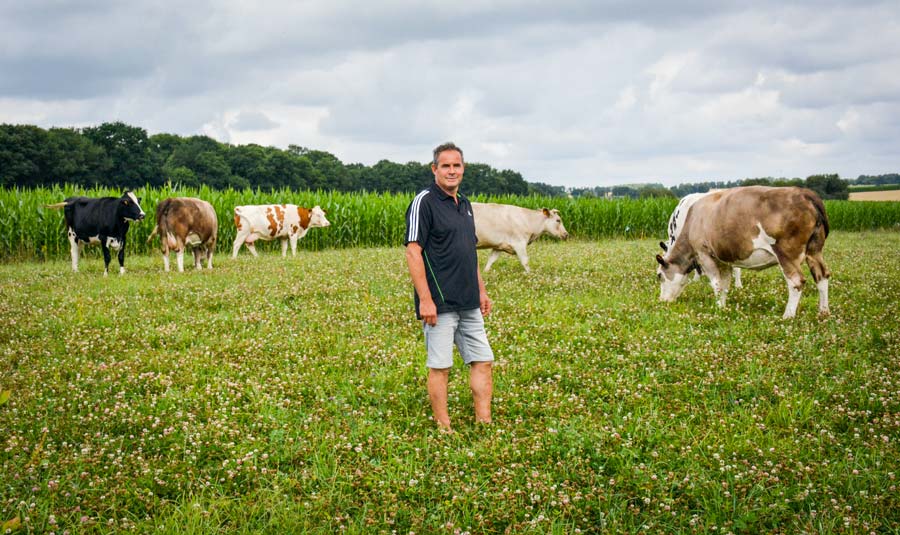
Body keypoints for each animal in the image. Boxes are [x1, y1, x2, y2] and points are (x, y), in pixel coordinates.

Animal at [652, 185, 828, 318]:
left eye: (659, 275)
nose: (662, 301)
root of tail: (804, 193)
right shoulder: (723, 260)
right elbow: (724, 284)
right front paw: (723, 307)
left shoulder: (704, 253)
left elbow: (716, 284)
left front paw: (718, 308)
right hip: (815, 250)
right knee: (822, 275)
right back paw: (823, 312)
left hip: (787, 253)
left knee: (796, 281)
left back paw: (788, 316)